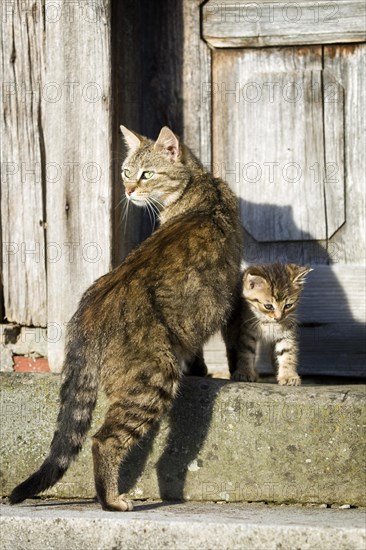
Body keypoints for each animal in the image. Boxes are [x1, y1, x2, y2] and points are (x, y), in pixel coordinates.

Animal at [8, 125, 242, 512]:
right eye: (126, 173)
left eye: (146, 174)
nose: (129, 190)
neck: (202, 187)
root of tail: (89, 309)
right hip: (151, 381)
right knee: (102, 440)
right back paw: (112, 500)